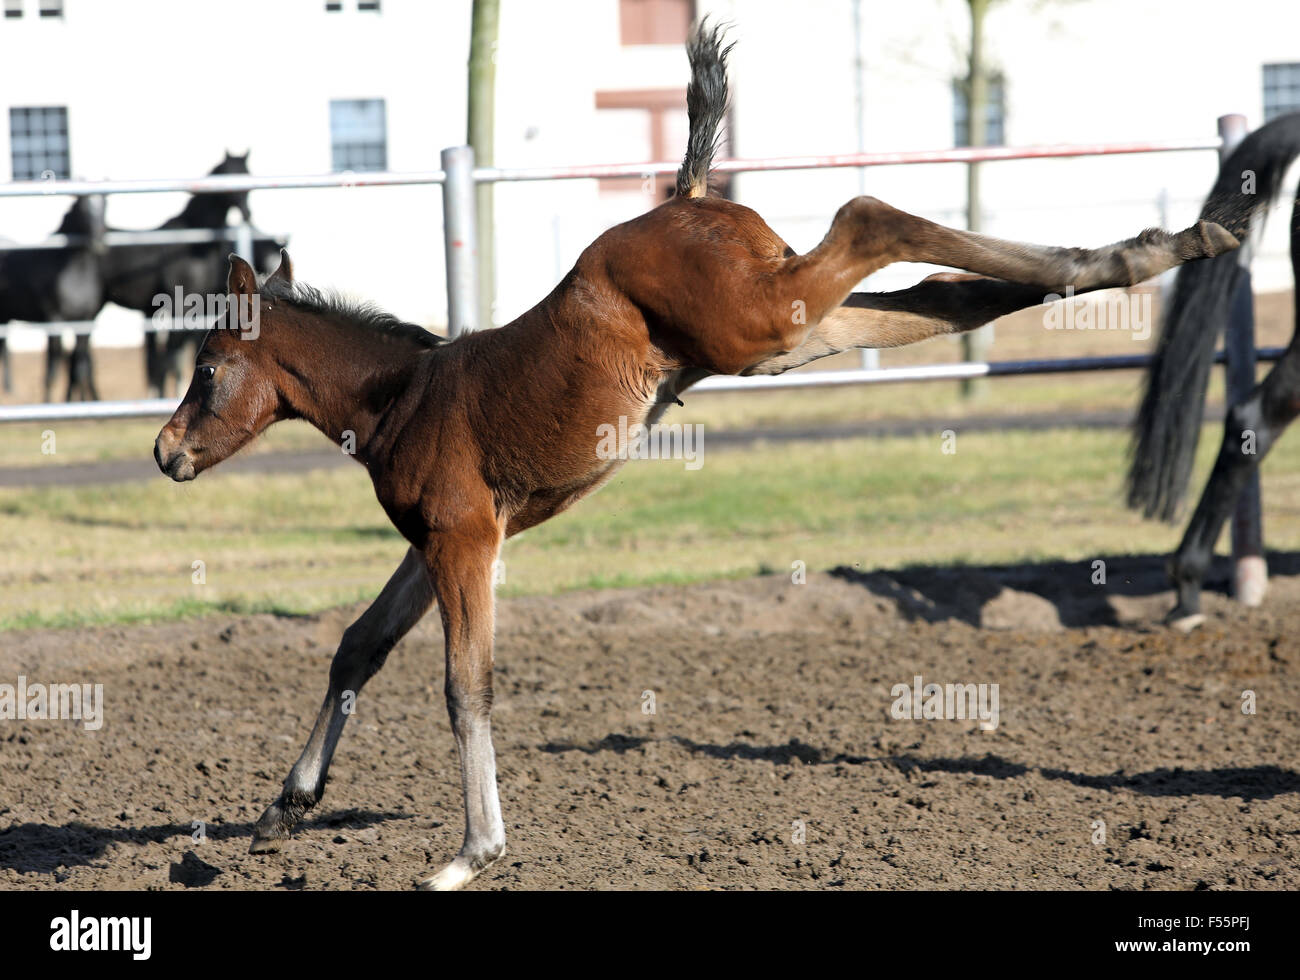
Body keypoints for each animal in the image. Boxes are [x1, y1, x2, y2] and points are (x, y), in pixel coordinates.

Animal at [157, 24, 1242, 883]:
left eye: (206, 368)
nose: (166, 450)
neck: (402, 399)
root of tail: (680, 195)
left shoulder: (464, 538)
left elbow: (466, 686)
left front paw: (471, 851)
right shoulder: (442, 543)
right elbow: (360, 643)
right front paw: (283, 806)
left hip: (762, 317)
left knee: (869, 217)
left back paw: (1163, 242)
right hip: (789, 331)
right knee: (953, 292)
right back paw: (1153, 246)